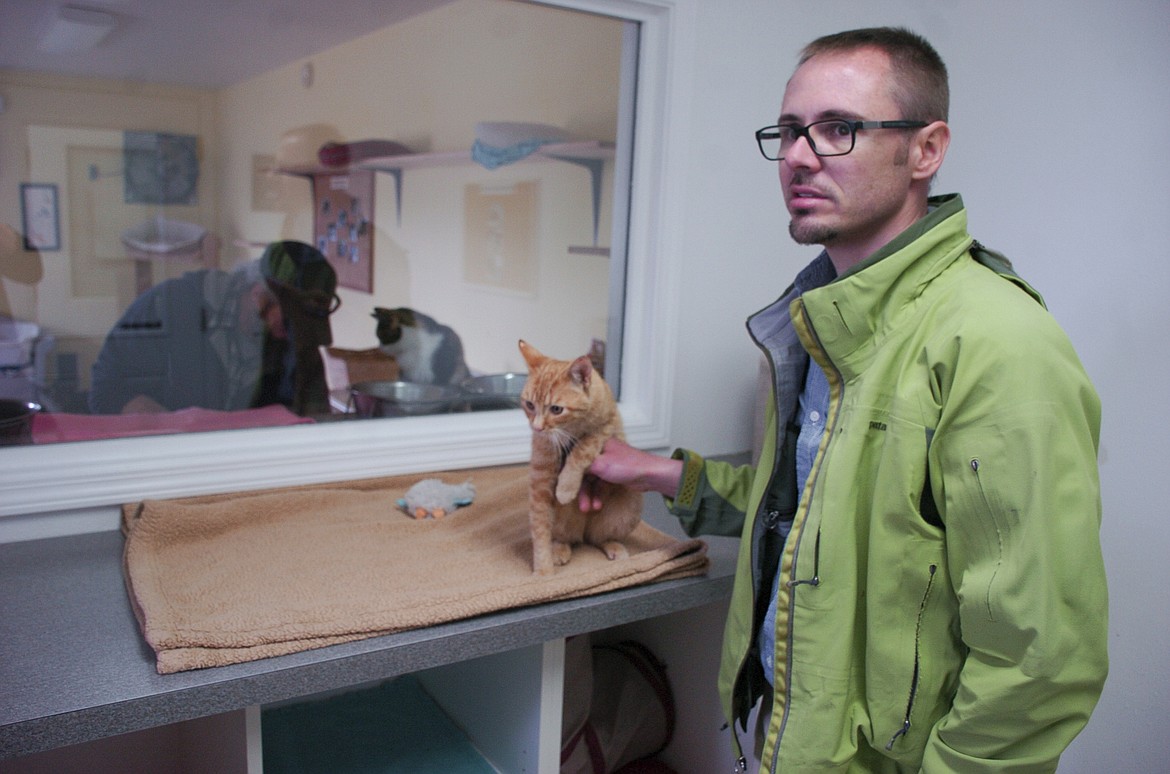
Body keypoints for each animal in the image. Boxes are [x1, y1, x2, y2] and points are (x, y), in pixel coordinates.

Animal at [519, 339, 641, 575]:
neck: (572, 428)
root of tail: (583, 530)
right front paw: (543, 570)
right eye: (529, 405)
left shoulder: (607, 426)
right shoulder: (540, 477)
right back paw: (559, 549)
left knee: (598, 538)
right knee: (566, 538)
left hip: (629, 505)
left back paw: (613, 546)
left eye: (557, 409)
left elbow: (583, 447)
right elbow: (540, 529)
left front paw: (566, 486)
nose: (537, 428)